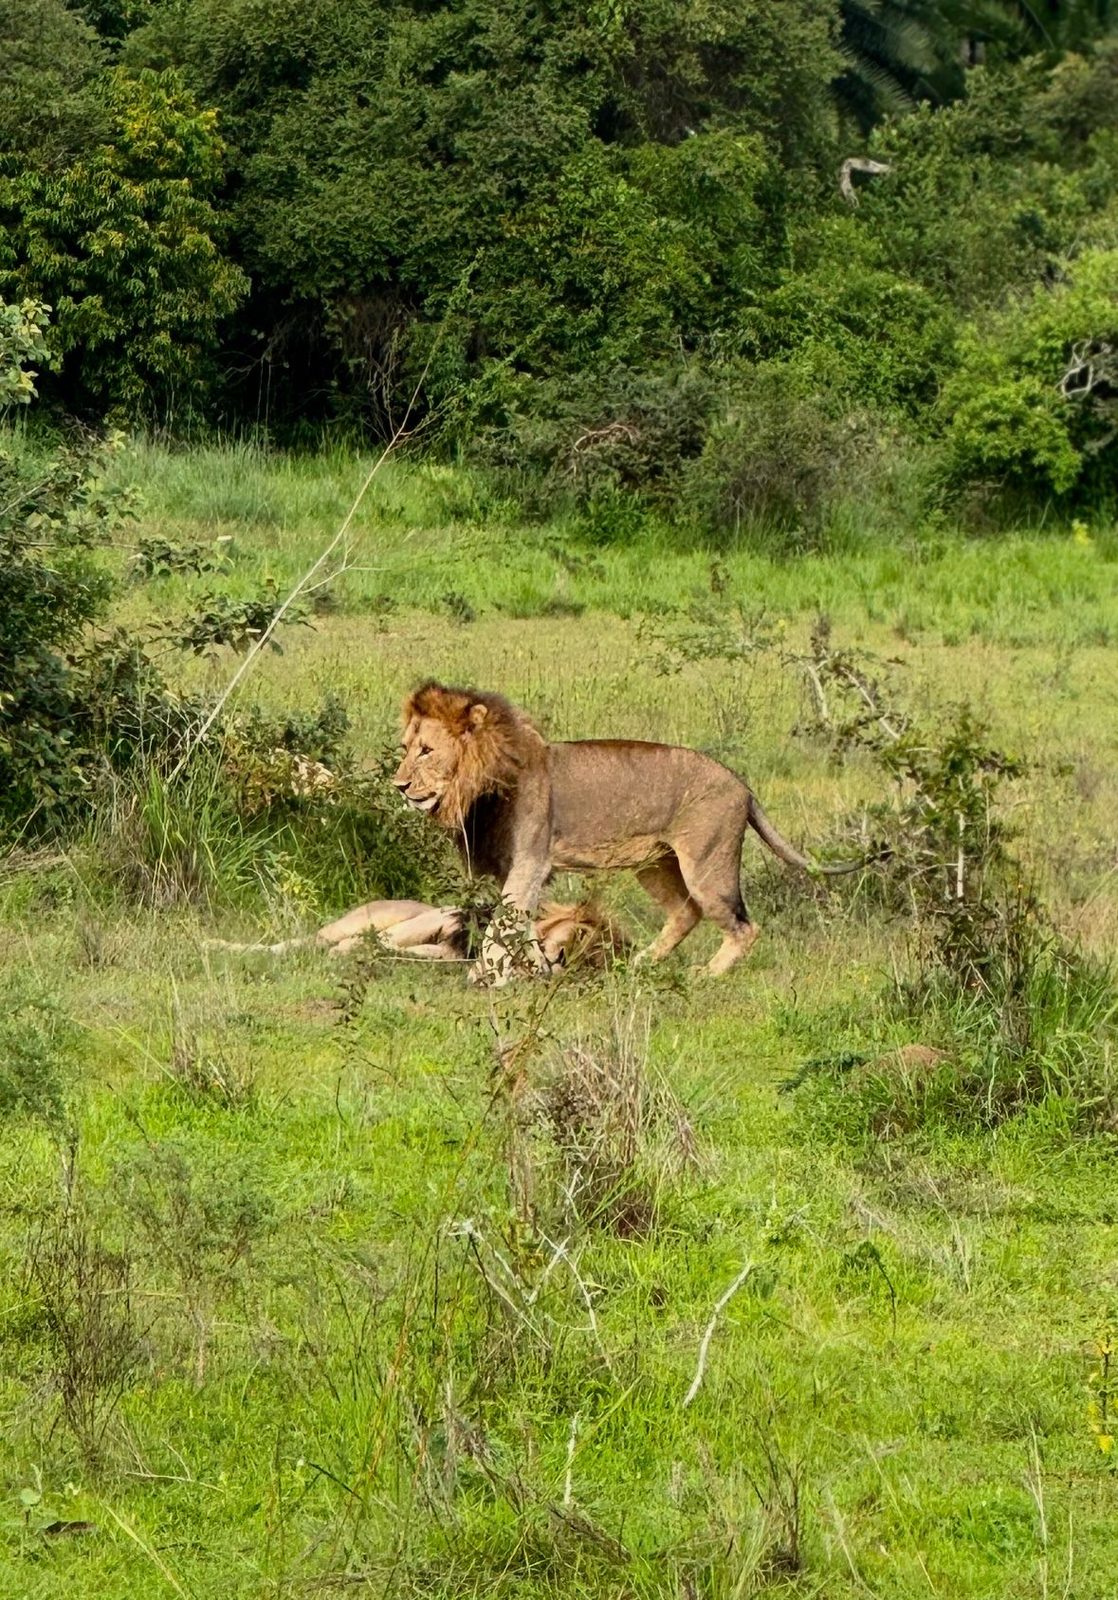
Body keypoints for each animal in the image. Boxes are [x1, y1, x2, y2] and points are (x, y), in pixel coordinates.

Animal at [393, 680, 868, 979]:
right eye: (405, 748)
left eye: (426, 751)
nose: (399, 785)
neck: (483, 785)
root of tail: (743, 785)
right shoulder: (524, 871)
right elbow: (521, 926)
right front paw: (534, 968)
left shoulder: (529, 862)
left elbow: (501, 926)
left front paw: (484, 974)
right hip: (656, 864)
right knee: (686, 912)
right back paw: (642, 962)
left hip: (707, 863)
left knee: (742, 926)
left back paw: (708, 974)